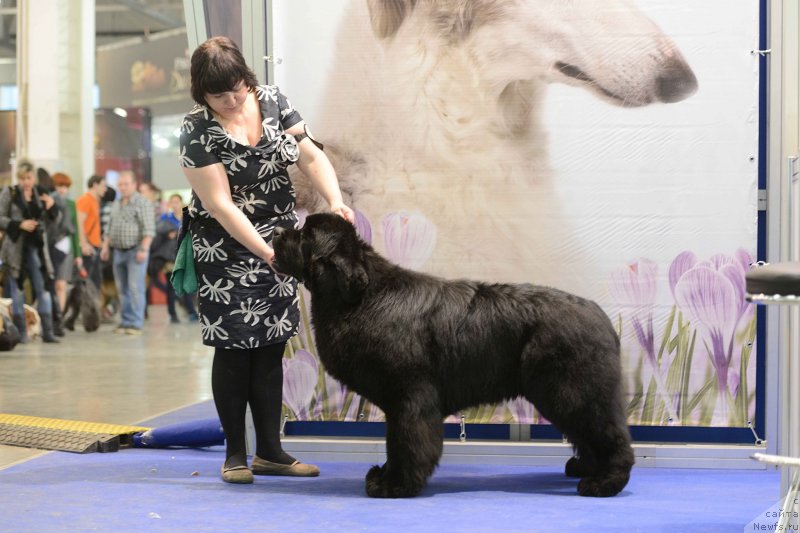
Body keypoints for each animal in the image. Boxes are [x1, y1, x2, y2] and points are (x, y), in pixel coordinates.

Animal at [272, 214, 636, 496]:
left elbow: (406, 441)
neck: (361, 298)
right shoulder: (400, 401)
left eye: (305, 235)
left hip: (572, 390)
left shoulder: (410, 397)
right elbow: (395, 441)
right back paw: (586, 469)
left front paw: (396, 485)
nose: (275, 232)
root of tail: (599, 314)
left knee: (610, 434)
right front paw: (385, 475)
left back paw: (605, 482)